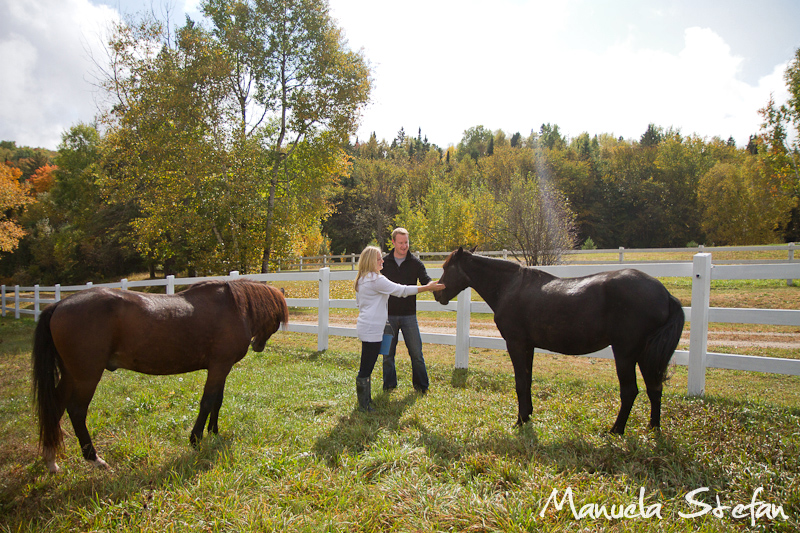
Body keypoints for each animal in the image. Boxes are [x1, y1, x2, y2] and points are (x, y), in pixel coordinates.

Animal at [32, 278, 288, 470]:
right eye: (278, 318)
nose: (258, 346)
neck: (234, 308)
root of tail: (59, 305)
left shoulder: (222, 368)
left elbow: (218, 401)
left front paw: (213, 432)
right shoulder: (219, 367)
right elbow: (207, 402)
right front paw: (196, 439)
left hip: (70, 375)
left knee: (56, 406)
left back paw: (51, 459)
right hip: (86, 376)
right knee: (76, 411)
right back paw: (94, 459)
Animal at [434, 247, 684, 434]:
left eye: (447, 267)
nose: (437, 294)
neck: (509, 286)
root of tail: (664, 294)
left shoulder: (515, 344)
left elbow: (520, 382)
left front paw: (519, 420)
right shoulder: (528, 346)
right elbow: (528, 380)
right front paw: (527, 415)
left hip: (625, 353)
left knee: (630, 391)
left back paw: (616, 430)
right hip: (645, 355)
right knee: (654, 388)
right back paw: (653, 428)